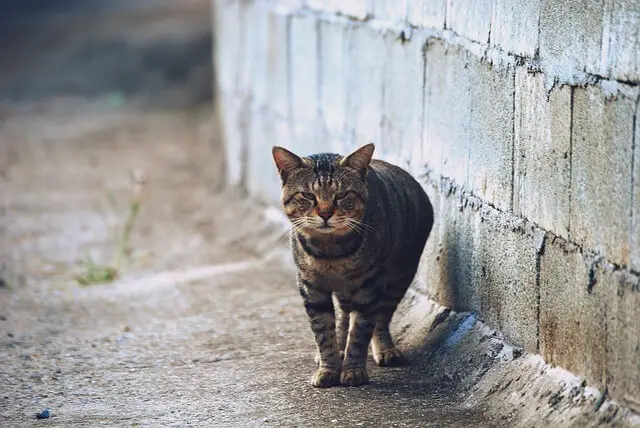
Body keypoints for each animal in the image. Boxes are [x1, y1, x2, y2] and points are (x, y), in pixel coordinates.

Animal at [272, 144, 436, 388]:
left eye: (341, 195)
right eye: (308, 195)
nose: (325, 213)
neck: (331, 252)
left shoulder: (370, 285)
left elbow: (360, 332)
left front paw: (353, 371)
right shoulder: (310, 286)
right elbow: (323, 331)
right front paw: (328, 368)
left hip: (399, 275)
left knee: (381, 317)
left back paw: (385, 349)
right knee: (343, 314)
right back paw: (339, 348)